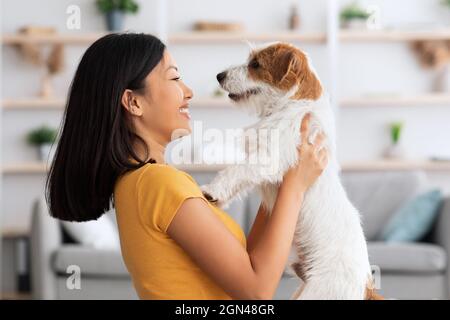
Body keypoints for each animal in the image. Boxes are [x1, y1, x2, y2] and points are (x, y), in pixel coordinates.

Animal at [202, 42, 382, 300]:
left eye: (255, 64)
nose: (219, 76)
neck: (291, 106)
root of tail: (365, 285)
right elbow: (241, 179)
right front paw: (219, 198)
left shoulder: (268, 159)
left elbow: (236, 170)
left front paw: (212, 189)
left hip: (318, 292)